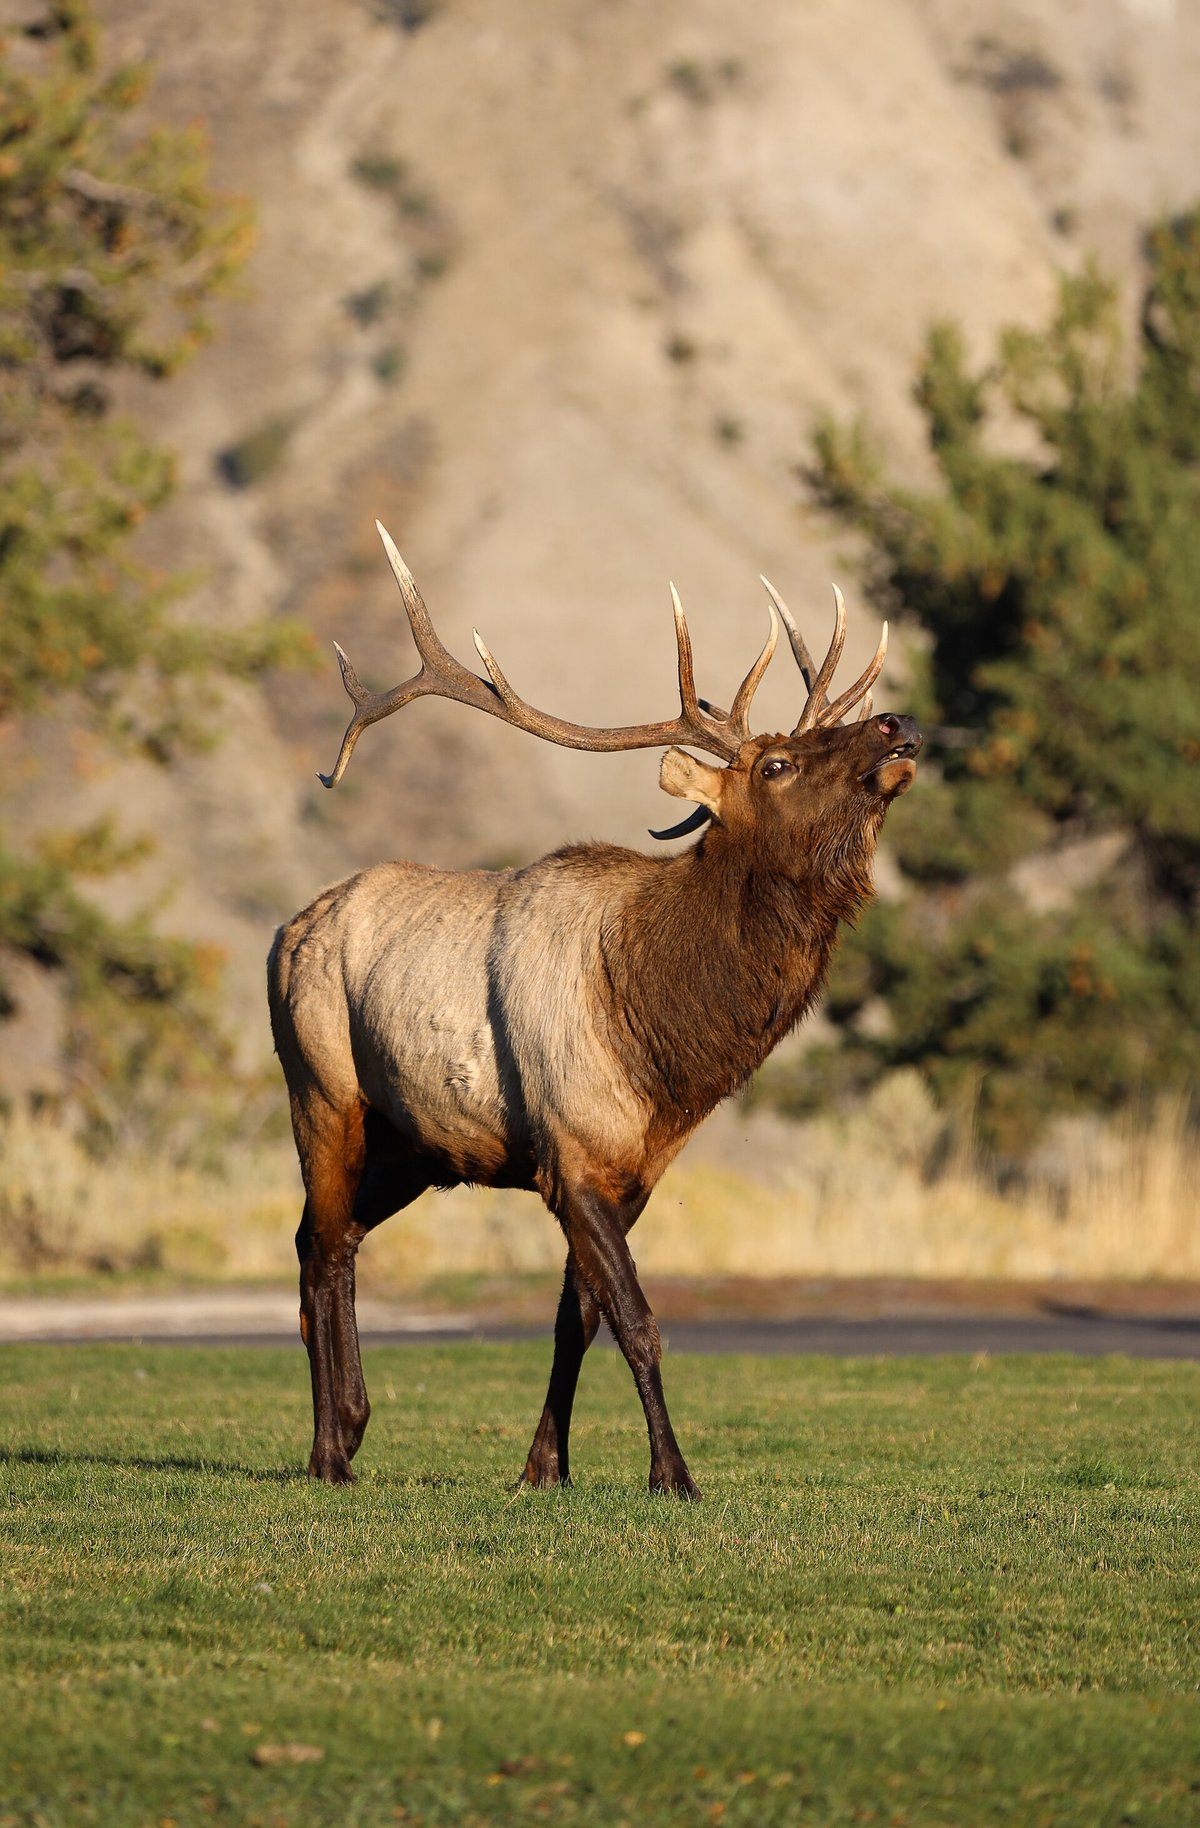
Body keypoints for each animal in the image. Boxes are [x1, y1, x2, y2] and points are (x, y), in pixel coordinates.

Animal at [268, 522, 921, 1494]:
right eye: (776, 763)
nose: (898, 723)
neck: (662, 1046)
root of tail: (284, 932)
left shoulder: (632, 1171)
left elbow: (575, 1321)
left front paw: (545, 1466)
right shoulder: (569, 1153)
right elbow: (638, 1321)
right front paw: (674, 1475)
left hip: (412, 1144)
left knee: (329, 1236)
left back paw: (348, 1432)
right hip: (322, 1090)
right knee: (321, 1246)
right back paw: (326, 1454)